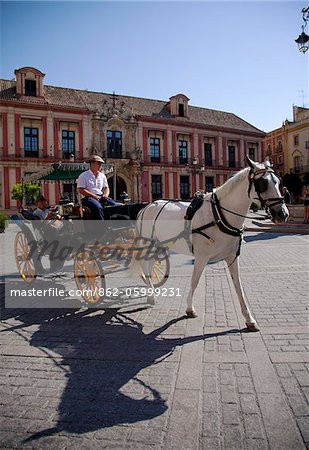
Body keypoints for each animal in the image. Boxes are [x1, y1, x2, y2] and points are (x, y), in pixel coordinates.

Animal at [132, 157, 288, 330]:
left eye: (279, 182)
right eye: (262, 183)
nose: (282, 214)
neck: (219, 215)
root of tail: (146, 206)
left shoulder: (232, 256)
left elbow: (238, 286)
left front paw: (249, 319)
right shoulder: (201, 257)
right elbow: (194, 281)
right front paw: (189, 308)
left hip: (159, 245)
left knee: (149, 265)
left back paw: (151, 293)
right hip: (149, 243)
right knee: (145, 265)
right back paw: (151, 295)